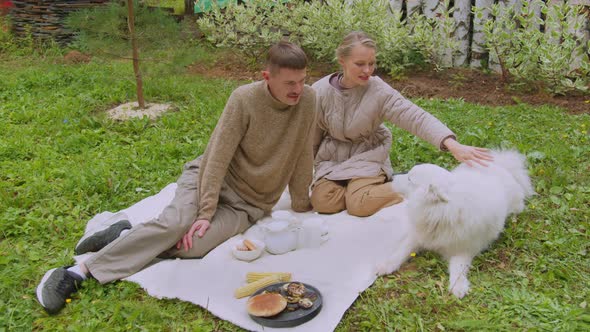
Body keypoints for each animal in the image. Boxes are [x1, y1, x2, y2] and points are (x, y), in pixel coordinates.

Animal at [380, 150, 536, 298]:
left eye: (409, 178)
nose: (391, 176)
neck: (441, 213)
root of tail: (500, 165)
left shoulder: (464, 248)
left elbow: (458, 267)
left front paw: (458, 286)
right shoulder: (419, 236)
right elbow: (402, 249)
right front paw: (387, 265)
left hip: (516, 205)